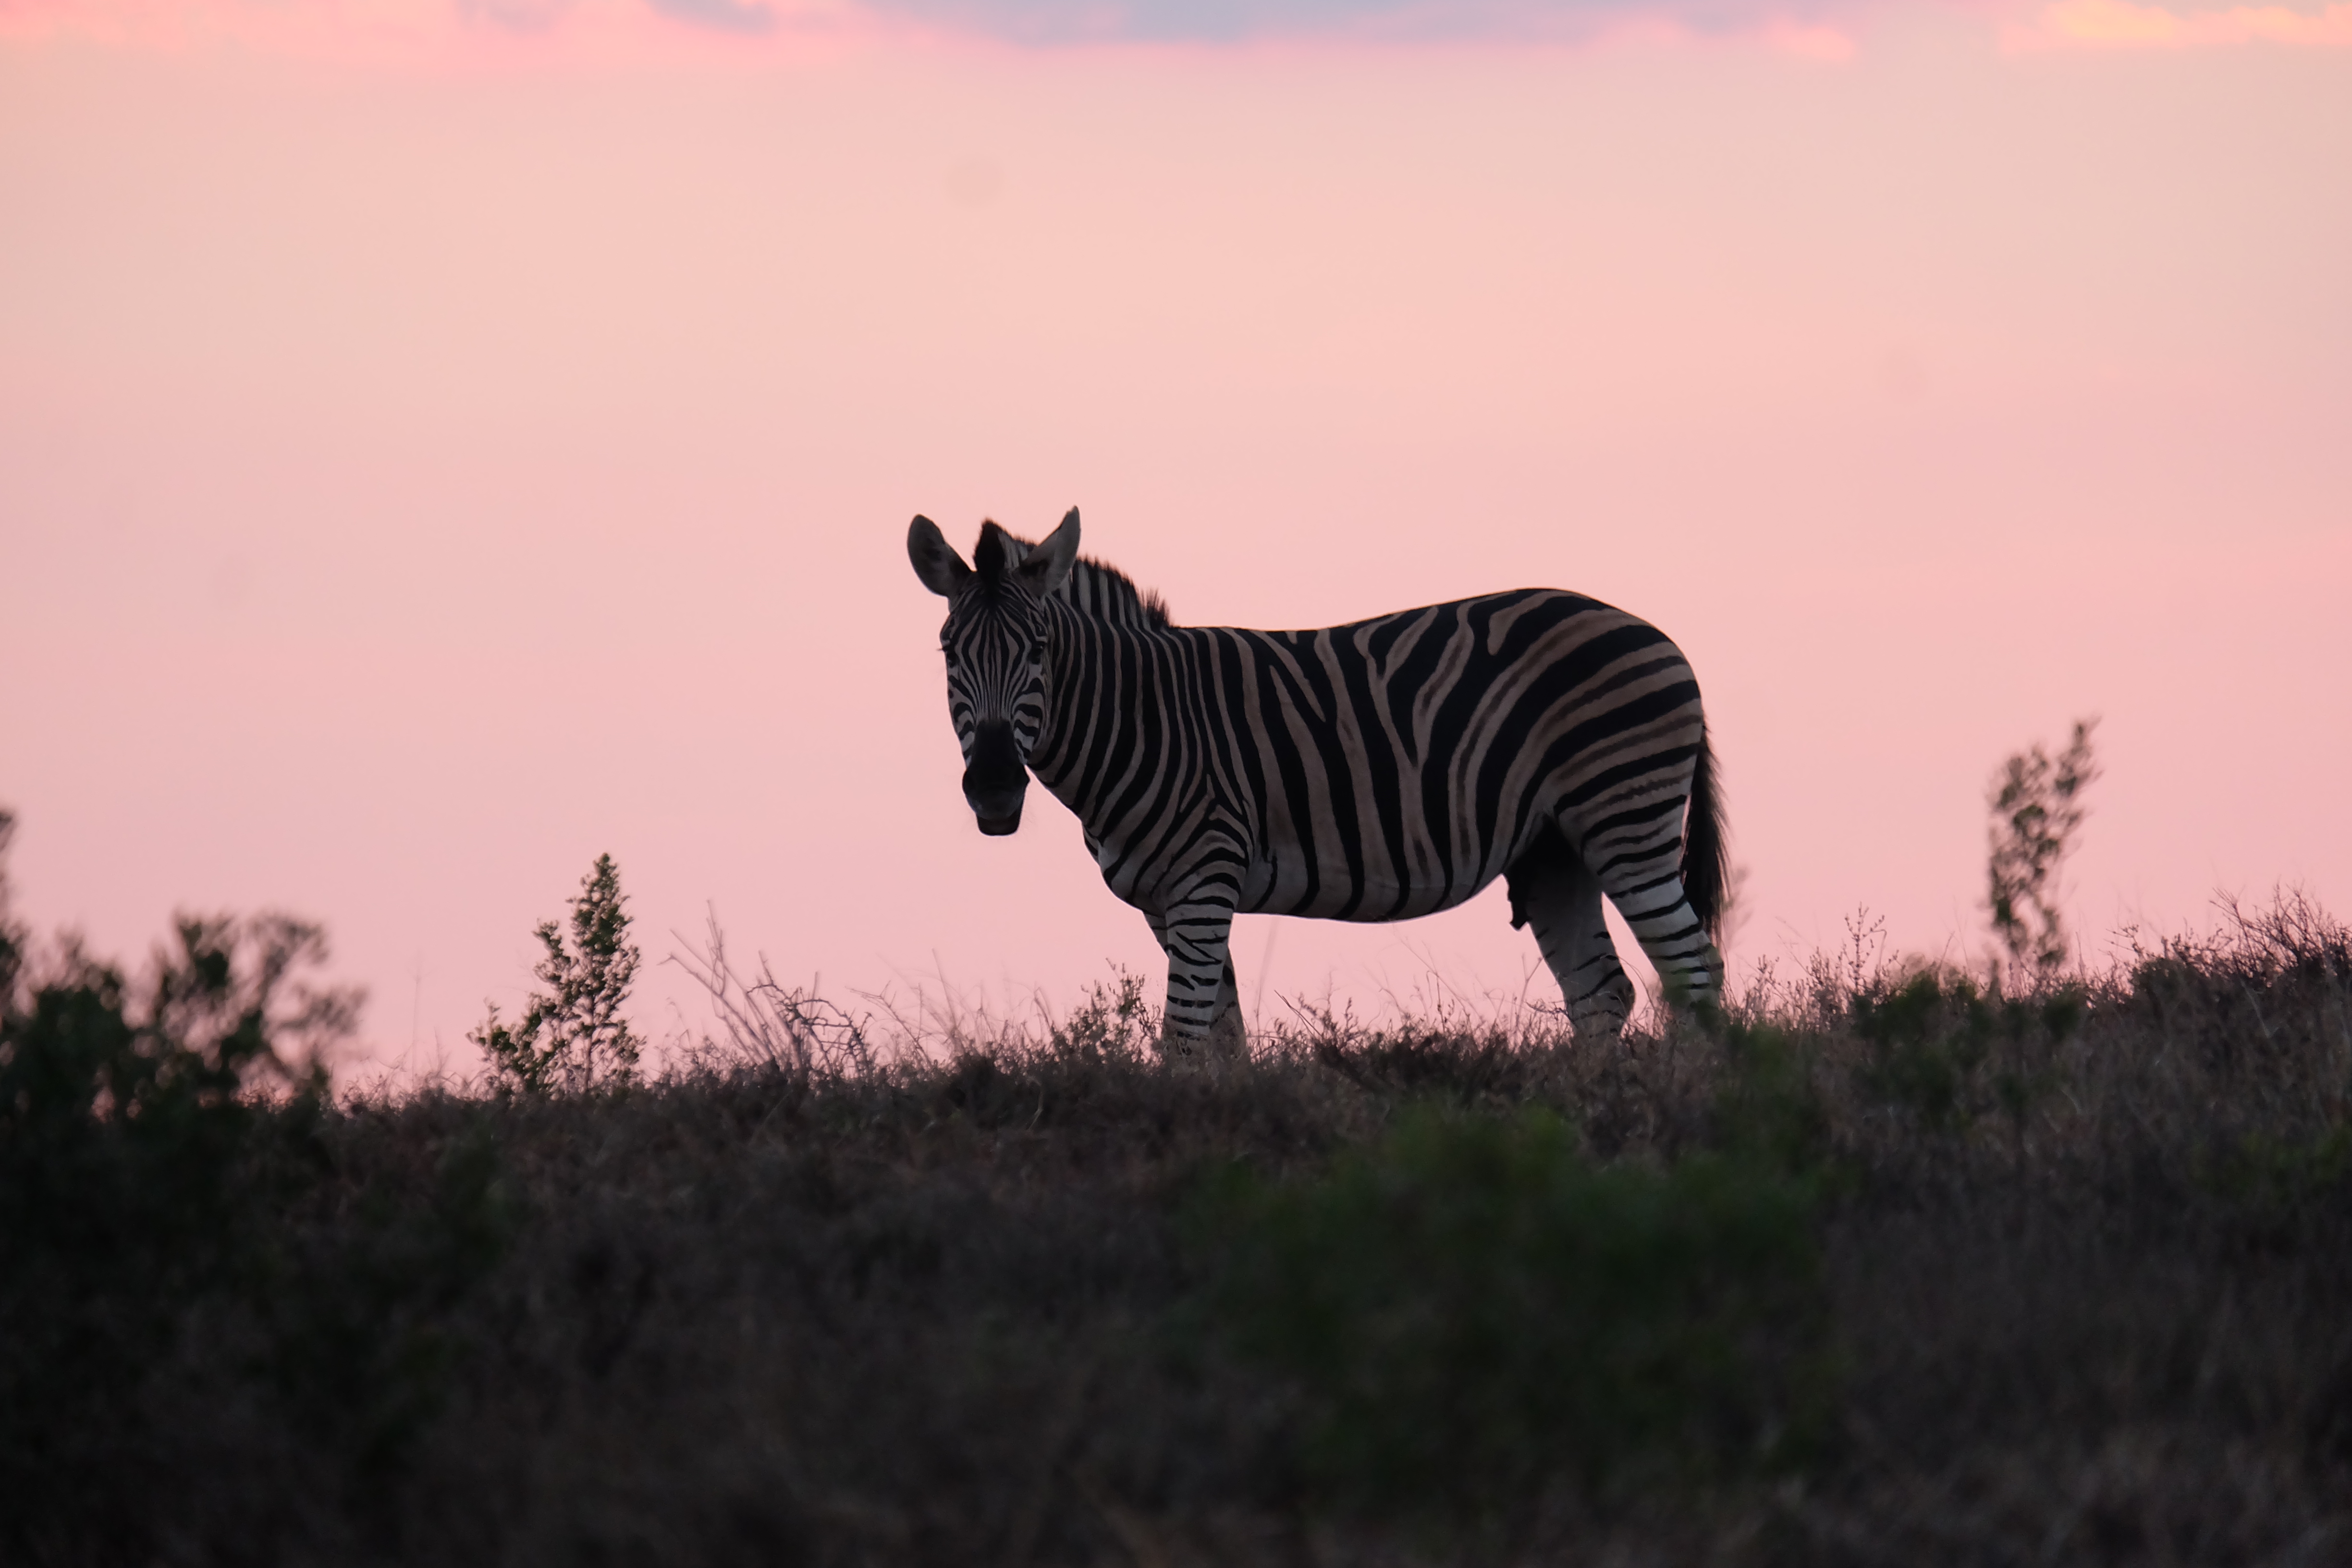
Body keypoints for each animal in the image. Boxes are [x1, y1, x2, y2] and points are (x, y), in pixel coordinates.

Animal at [907, 507, 1727, 1058]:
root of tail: (1657, 634)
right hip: (1554, 850)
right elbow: (1224, 1038)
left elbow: (1182, 1037)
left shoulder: (1205, 876)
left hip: (1625, 818)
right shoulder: (1168, 900)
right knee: (1602, 992)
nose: (994, 787)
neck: (1140, 716)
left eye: (1039, 650)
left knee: (1694, 972)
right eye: (948, 652)